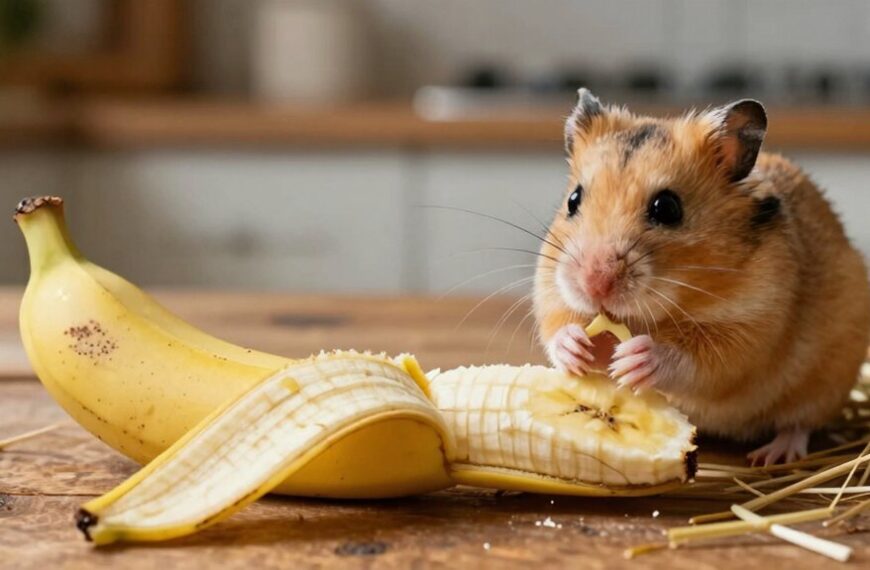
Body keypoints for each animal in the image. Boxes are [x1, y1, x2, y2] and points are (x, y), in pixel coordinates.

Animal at [534, 88, 870, 465]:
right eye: (573, 200)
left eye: (667, 208)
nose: (594, 285)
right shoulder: (550, 287)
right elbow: (556, 324)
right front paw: (576, 348)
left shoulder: (752, 328)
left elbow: (699, 360)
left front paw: (633, 359)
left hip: (824, 383)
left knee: (800, 423)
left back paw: (771, 455)